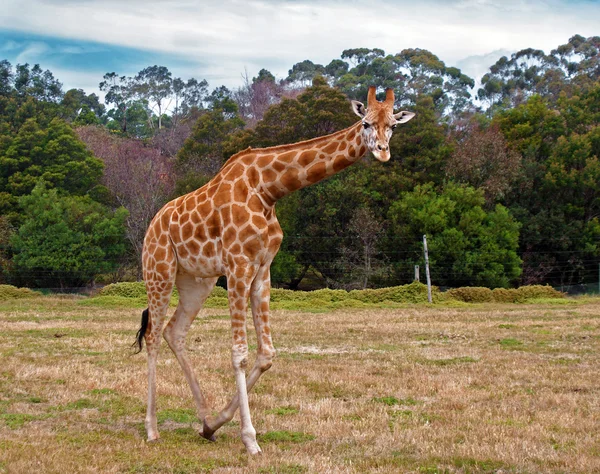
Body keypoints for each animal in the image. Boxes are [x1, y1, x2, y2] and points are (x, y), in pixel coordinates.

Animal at [138, 87, 414, 454]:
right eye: (366, 122)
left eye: (393, 126)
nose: (383, 152)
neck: (269, 189)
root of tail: (152, 224)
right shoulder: (238, 265)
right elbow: (239, 354)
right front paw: (250, 440)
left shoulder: (261, 268)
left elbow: (267, 354)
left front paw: (217, 424)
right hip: (159, 271)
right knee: (153, 335)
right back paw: (152, 429)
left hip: (198, 281)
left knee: (174, 332)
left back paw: (205, 419)